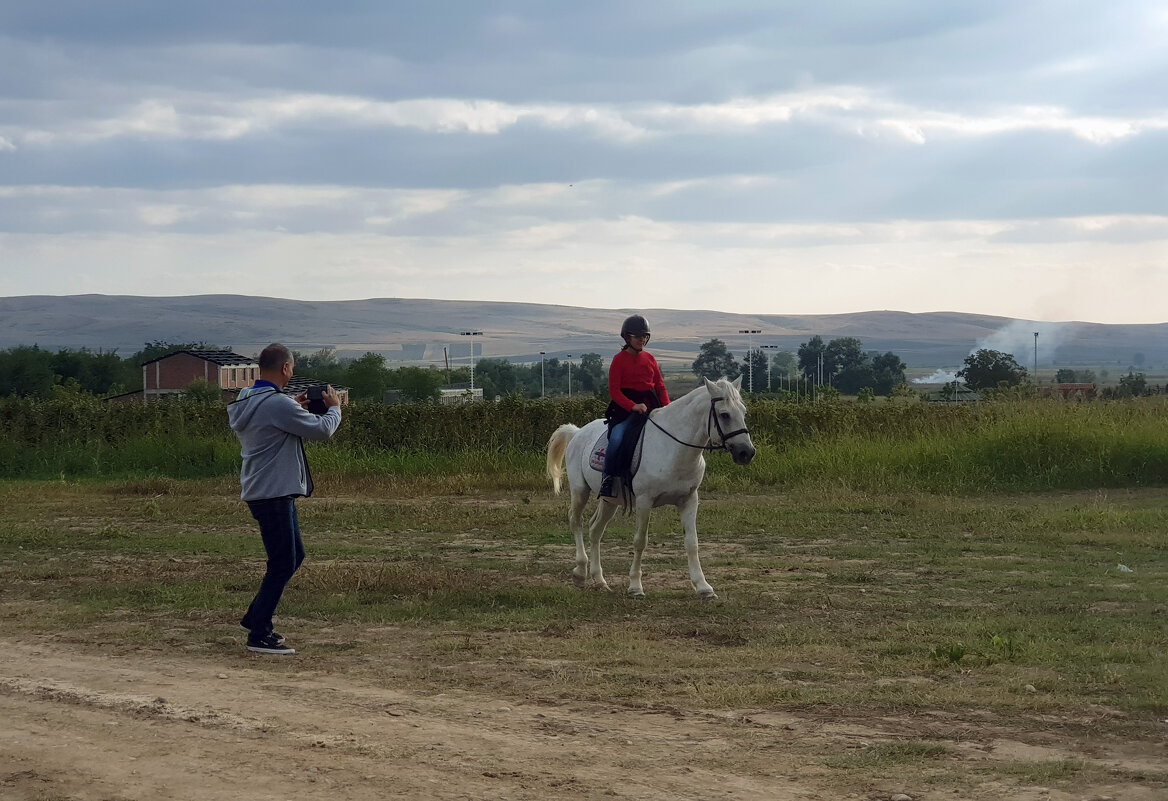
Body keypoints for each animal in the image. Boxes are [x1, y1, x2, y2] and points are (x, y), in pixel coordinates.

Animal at [546, 380, 756, 597]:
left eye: (744, 412)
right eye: (724, 414)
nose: (746, 452)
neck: (673, 448)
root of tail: (578, 432)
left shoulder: (689, 500)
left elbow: (692, 543)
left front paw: (703, 587)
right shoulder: (644, 501)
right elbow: (640, 542)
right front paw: (635, 586)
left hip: (609, 500)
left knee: (595, 529)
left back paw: (600, 580)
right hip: (580, 491)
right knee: (576, 521)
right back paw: (580, 573)